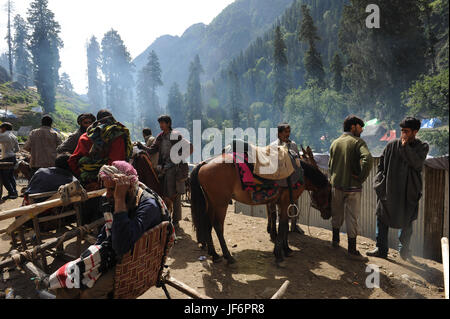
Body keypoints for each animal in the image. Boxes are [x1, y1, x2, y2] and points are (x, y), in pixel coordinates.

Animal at [190, 152, 330, 268]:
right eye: (328, 194)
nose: (328, 214)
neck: (300, 173)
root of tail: (205, 163)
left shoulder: (281, 203)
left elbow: (283, 226)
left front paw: (286, 249)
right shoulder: (285, 202)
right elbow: (283, 226)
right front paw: (279, 255)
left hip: (211, 202)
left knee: (207, 223)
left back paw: (214, 255)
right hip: (221, 203)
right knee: (218, 226)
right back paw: (228, 257)